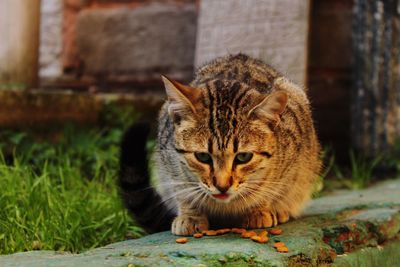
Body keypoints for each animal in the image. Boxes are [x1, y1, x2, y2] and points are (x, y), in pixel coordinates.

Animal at [119, 53, 322, 236]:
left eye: (243, 157)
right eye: (202, 156)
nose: (222, 186)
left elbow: (270, 188)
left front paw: (259, 210)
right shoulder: (170, 163)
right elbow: (183, 190)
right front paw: (190, 216)